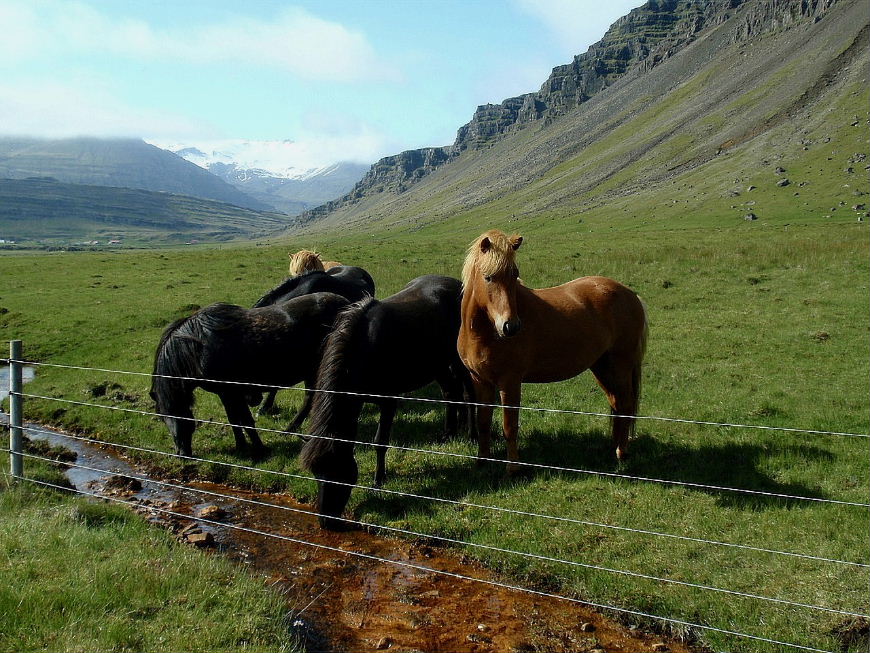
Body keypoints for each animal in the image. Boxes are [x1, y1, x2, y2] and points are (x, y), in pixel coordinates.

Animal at [151, 292, 350, 456]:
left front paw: (259, 448)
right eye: (162, 418)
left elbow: (245, 420)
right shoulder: (225, 394)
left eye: (178, 413)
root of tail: (346, 305)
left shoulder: (234, 392)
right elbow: (234, 420)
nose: (181, 453)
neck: (199, 348)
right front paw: (241, 447)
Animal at [302, 276, 476, 528]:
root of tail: (455, 285)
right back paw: (449, 433)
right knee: (450, 392)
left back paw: (472, 434)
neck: (362, 350)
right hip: (438, 364)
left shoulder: (389, 402)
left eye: (337, 471)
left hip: (457, 358)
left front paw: (379, 479)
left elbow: (380, 441)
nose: (326, 522)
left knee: (469, 393)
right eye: (316, 473)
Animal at [460, 229, 652, 468]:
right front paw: (482, 462)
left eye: (515, 274)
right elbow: (483, 423)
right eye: (488, 277)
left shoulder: (510, 382)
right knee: (616, 403)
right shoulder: (480, 381)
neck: (484, 334)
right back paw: (614, 448)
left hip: (620, 366)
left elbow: (509, 428)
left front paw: (512, 469)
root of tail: (630, 295)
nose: (511, 327)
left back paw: (621, 452)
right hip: (602, 367)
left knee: (625, 406)